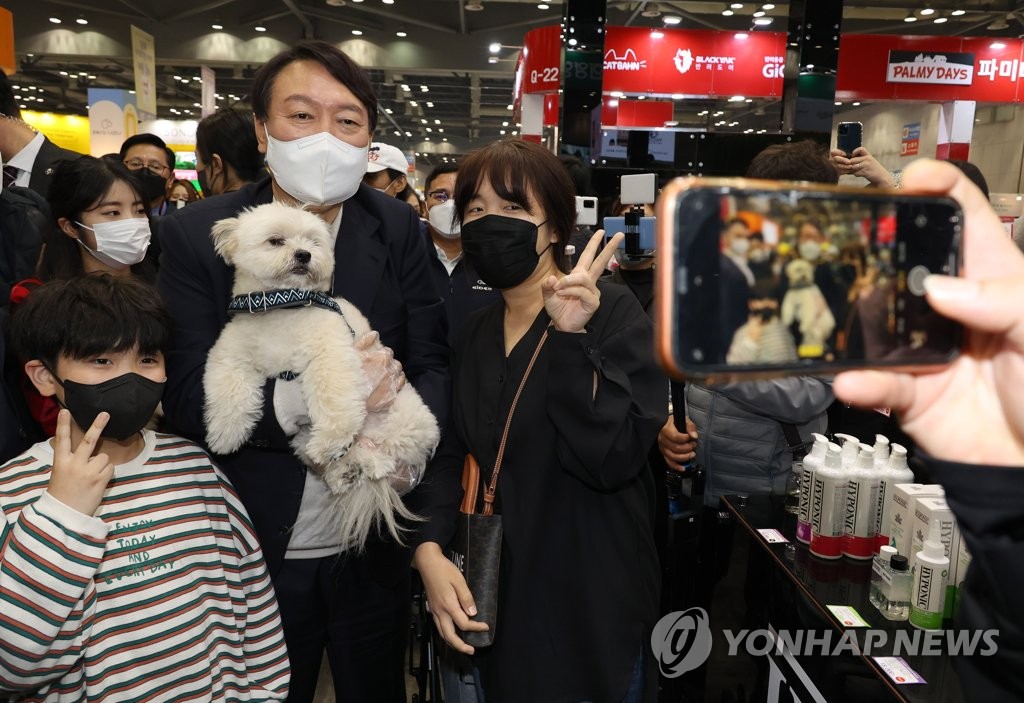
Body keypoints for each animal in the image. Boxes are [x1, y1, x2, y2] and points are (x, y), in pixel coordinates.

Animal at [201, 200, 438, 552]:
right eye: (275, 241)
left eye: (313, 242)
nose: (303, 255)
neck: (283, 307)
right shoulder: (230, 354)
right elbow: (228, 388)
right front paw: (225, 433)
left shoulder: (331, 354)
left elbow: (333, 400)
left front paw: (332, 437)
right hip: (301, 440)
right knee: (351, 456)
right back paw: (347, 471)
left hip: (405, 419)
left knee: (386, 454)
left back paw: (364, 461)